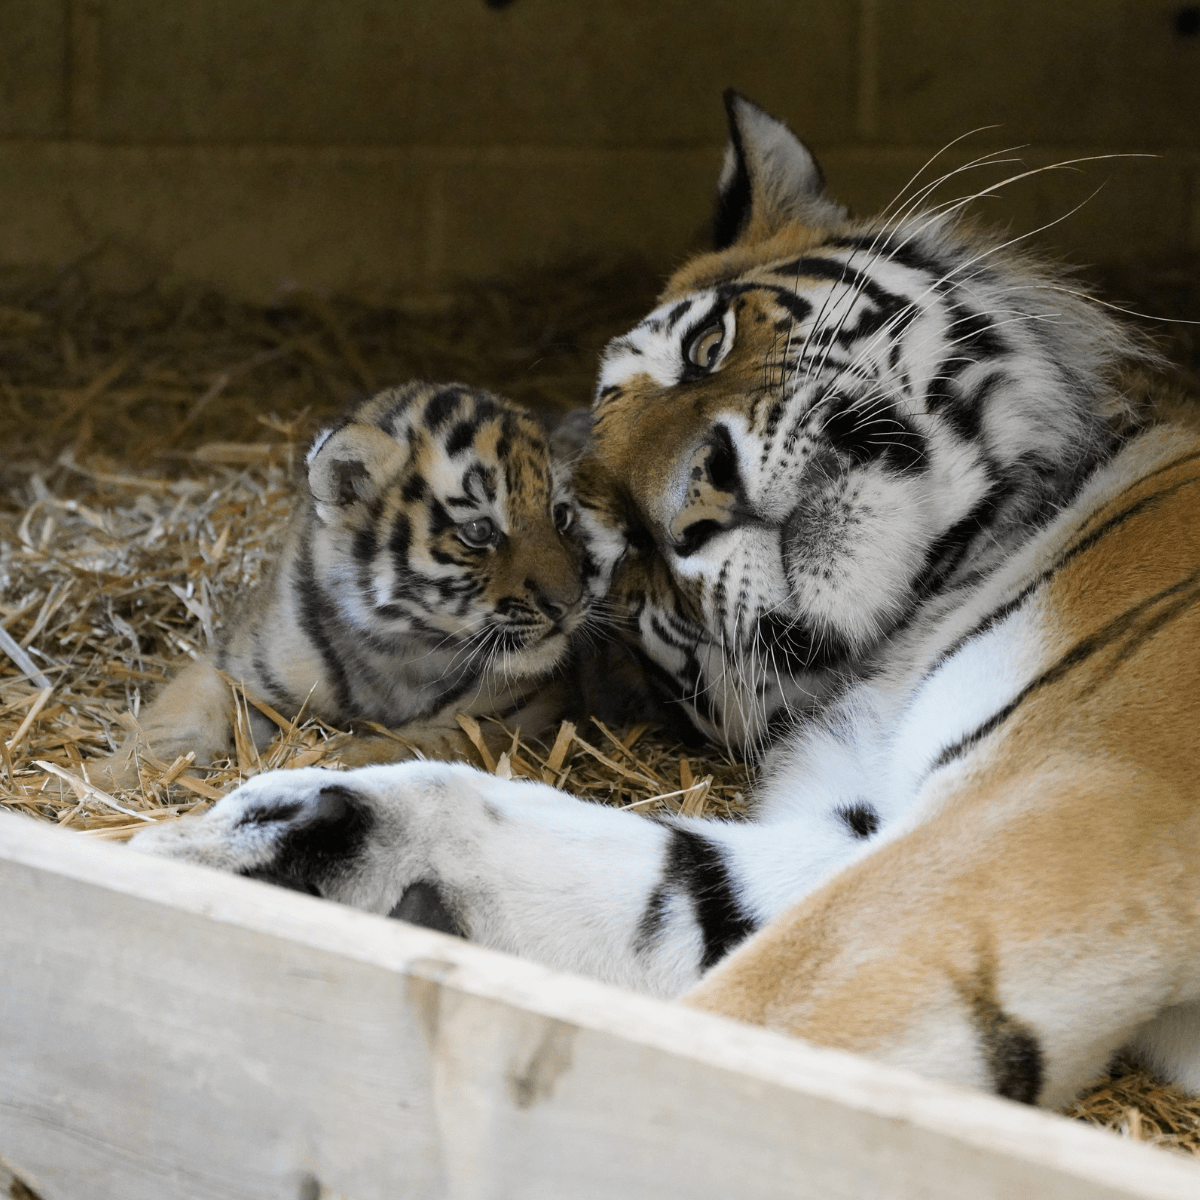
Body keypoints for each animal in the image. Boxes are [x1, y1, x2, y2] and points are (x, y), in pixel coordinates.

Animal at [96, 380, 592, 786]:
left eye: (561, 517)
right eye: (479, 530)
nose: (568, 605)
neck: (397, 650)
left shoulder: (526, 709)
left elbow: (435, 741)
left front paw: (331, 760)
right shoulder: (231, 668)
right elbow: (174, 720)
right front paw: (106, 779)